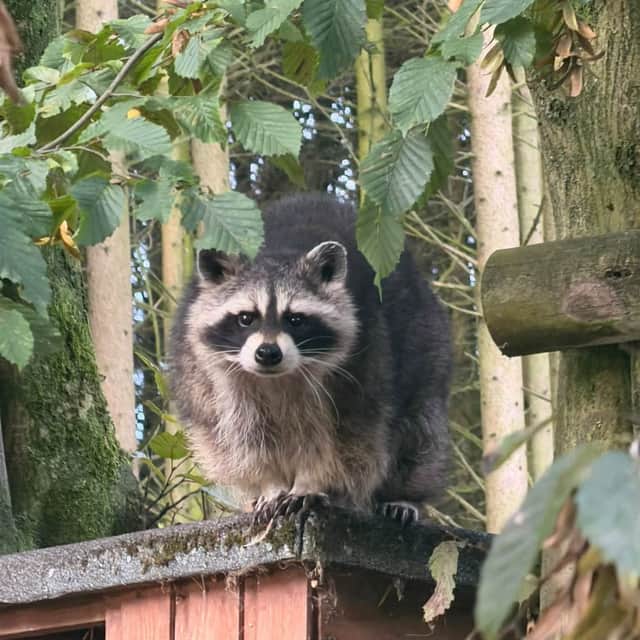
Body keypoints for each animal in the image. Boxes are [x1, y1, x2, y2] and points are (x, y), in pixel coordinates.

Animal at [170, 193, 452, 524]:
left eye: (295, 319)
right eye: (245, 318)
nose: (268, 353)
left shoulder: (365, 364)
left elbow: (344, 442)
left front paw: (310, 483)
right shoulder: (214, 380)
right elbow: (244, 439)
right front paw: (270, 484)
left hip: (427, 343)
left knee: (419, 434)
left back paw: (405, 494)